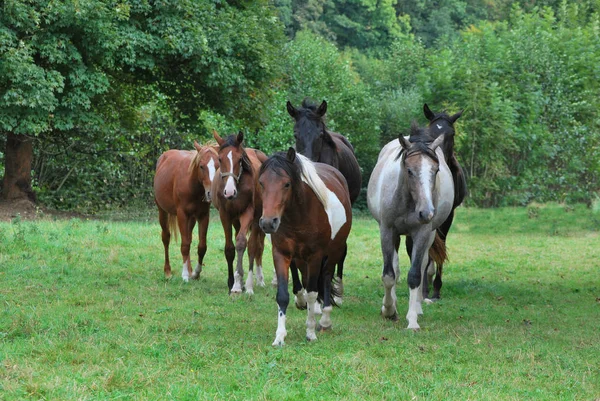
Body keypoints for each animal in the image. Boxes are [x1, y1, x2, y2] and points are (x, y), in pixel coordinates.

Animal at [154, 141, 219, 282]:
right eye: (201, 166)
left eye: (218, 165)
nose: (211, 193)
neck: (192, 185)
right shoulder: (182, 215)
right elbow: (184, 245)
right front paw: (184, 275)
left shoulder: (203, 216)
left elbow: (201, 246)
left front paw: (195, 273)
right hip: (162, 211)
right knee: (166, 238)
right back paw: (168, 271)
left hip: (192, 218)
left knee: (188, 237)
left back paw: (189, 270)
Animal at [211, 131, 268, 294]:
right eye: (220, 159)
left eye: (240, 159)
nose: (229, 192)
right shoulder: (225, 215)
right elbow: (230, 249)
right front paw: (232, 281)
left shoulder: (248, 213)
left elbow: (242, 243)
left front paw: (238, 285)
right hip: (236, 220)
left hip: (256, 220)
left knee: (256, 247)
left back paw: (255, 281)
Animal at [258, 148, 352, 346]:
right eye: (261, 183)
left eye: (286, 184)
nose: (268, 223)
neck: (298, 218)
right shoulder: (281, 254)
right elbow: (283, 295)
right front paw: (279, 336)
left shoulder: (315, 256)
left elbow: (312, 293)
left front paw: (310, 332)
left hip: (333, 252)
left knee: (325, 278)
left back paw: (324, 320)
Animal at [366, 122, 454, 328]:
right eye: (409, 171)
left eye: (436, 170)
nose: (427, 212)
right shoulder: (387, 231)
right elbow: (389, 275)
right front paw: (389, 310)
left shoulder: (422, 233)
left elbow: (415, 275)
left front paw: (412, 320)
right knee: (395, 266)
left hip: (428, 235)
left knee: (422, 267)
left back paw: (418, 307)